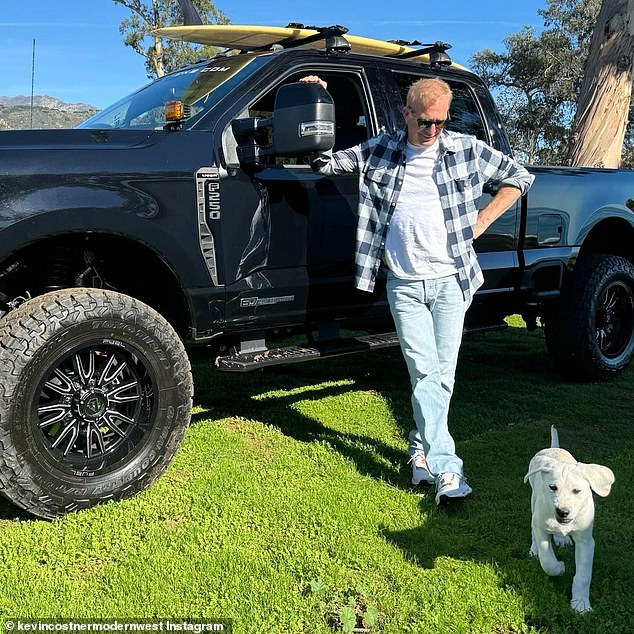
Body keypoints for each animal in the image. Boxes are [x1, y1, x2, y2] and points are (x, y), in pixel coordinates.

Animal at [524, 424, 612, 612]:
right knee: (533, 531)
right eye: (553, 487)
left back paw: (561, 538)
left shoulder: (586, 541)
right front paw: (559, 567)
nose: (562, 512)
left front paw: (581, 604)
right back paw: (535, 550)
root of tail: (553, 448)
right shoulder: (541, 528)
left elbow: (583, 576)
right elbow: (547, 560)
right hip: (534, 502)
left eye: (577, 491)